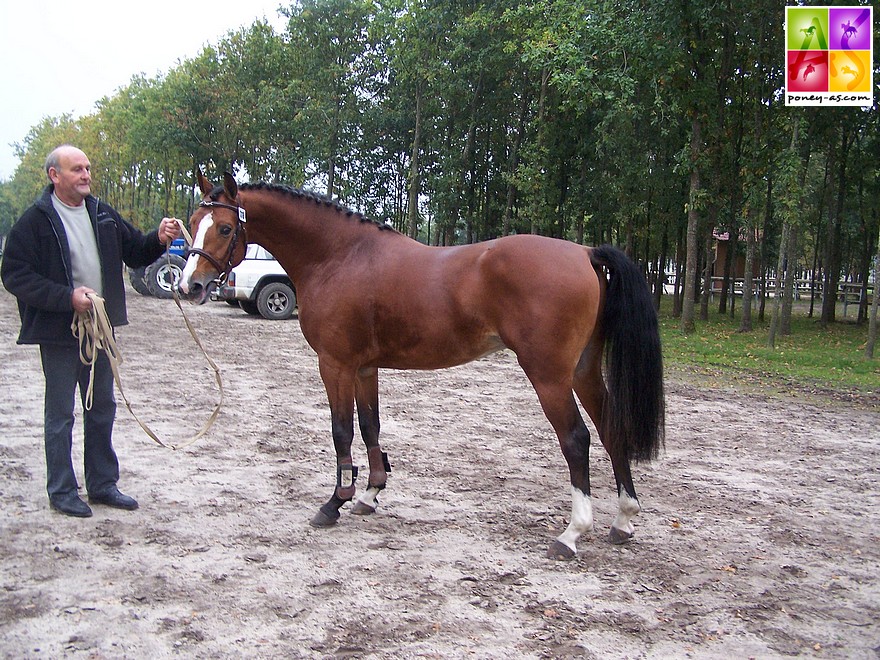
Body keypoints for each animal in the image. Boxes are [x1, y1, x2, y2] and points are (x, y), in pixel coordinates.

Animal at [180, 170, 660, 556]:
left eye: (225, 227)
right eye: (191, 223)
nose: (190, 286)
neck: (339, 256)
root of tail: (584, 252)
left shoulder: (335, 364)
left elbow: (341, 431)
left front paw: (334, 502)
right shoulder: (364, 367)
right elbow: (370, 427)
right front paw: (369, 495)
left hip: (549, 376)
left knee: (576, 439)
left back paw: (571, 533)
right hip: (582, 371)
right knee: (610, 427)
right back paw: (623, 518)